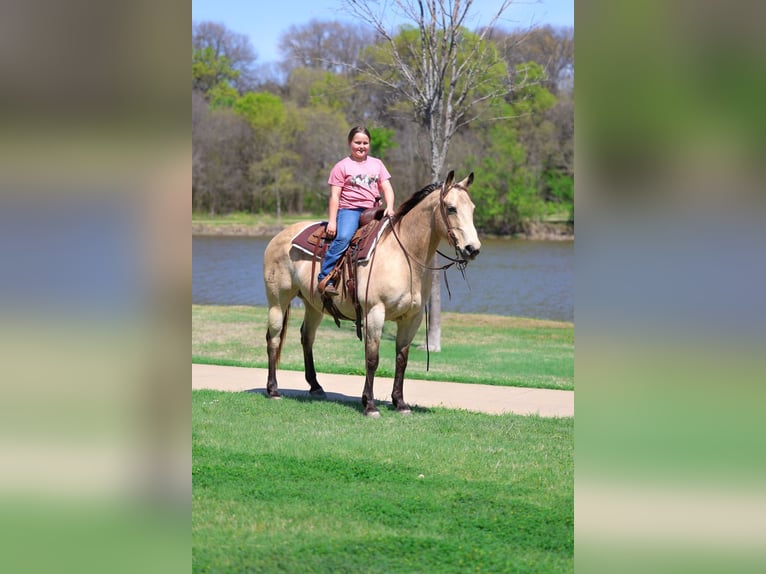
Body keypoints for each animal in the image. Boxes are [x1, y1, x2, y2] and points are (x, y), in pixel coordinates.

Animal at [262, 170, 481, 416]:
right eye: (451, 208)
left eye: (472, 208)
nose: (473, 249)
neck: (403, 254)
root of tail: (279, 236)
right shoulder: (375, 312)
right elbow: (372, 359)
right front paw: (369, 404)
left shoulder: (412, 318)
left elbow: (401, 359)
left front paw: (400, 403)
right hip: (277, 301)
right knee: (273, 338)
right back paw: (273, 390)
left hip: (314, 305)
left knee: (306, 337)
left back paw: (316, 387)